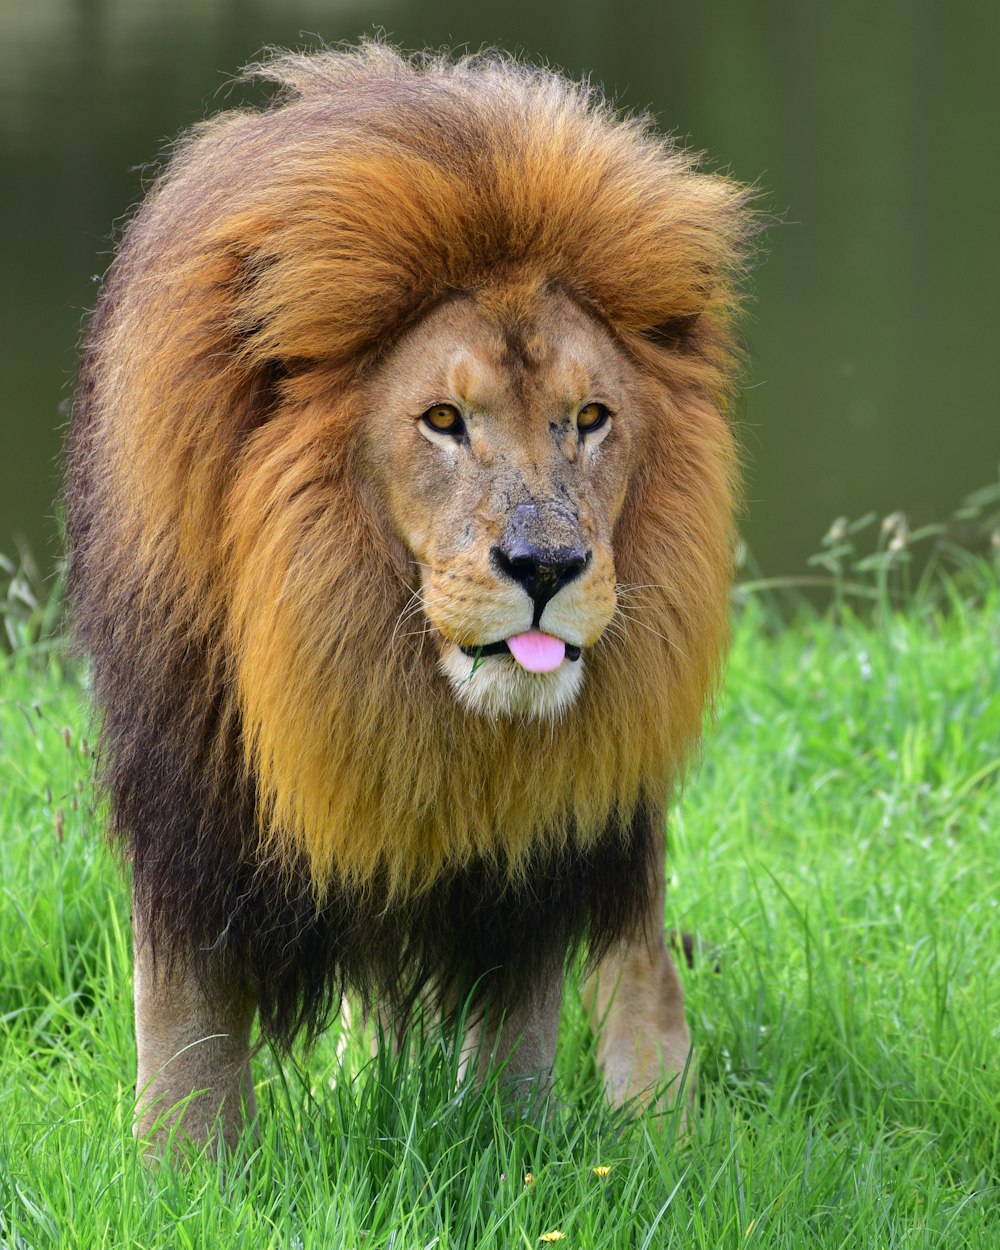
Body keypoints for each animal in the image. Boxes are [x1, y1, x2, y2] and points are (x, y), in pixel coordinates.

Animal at [64, 41, 750, 1150]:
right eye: (441, 419)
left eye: (591, 417)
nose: (548, 567)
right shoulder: (192, 803)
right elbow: (185, 1032)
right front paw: (185, 1171)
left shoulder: (538, 853)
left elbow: (519, 1034)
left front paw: (519, 1152)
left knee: (639, 950)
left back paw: (663, 1125)